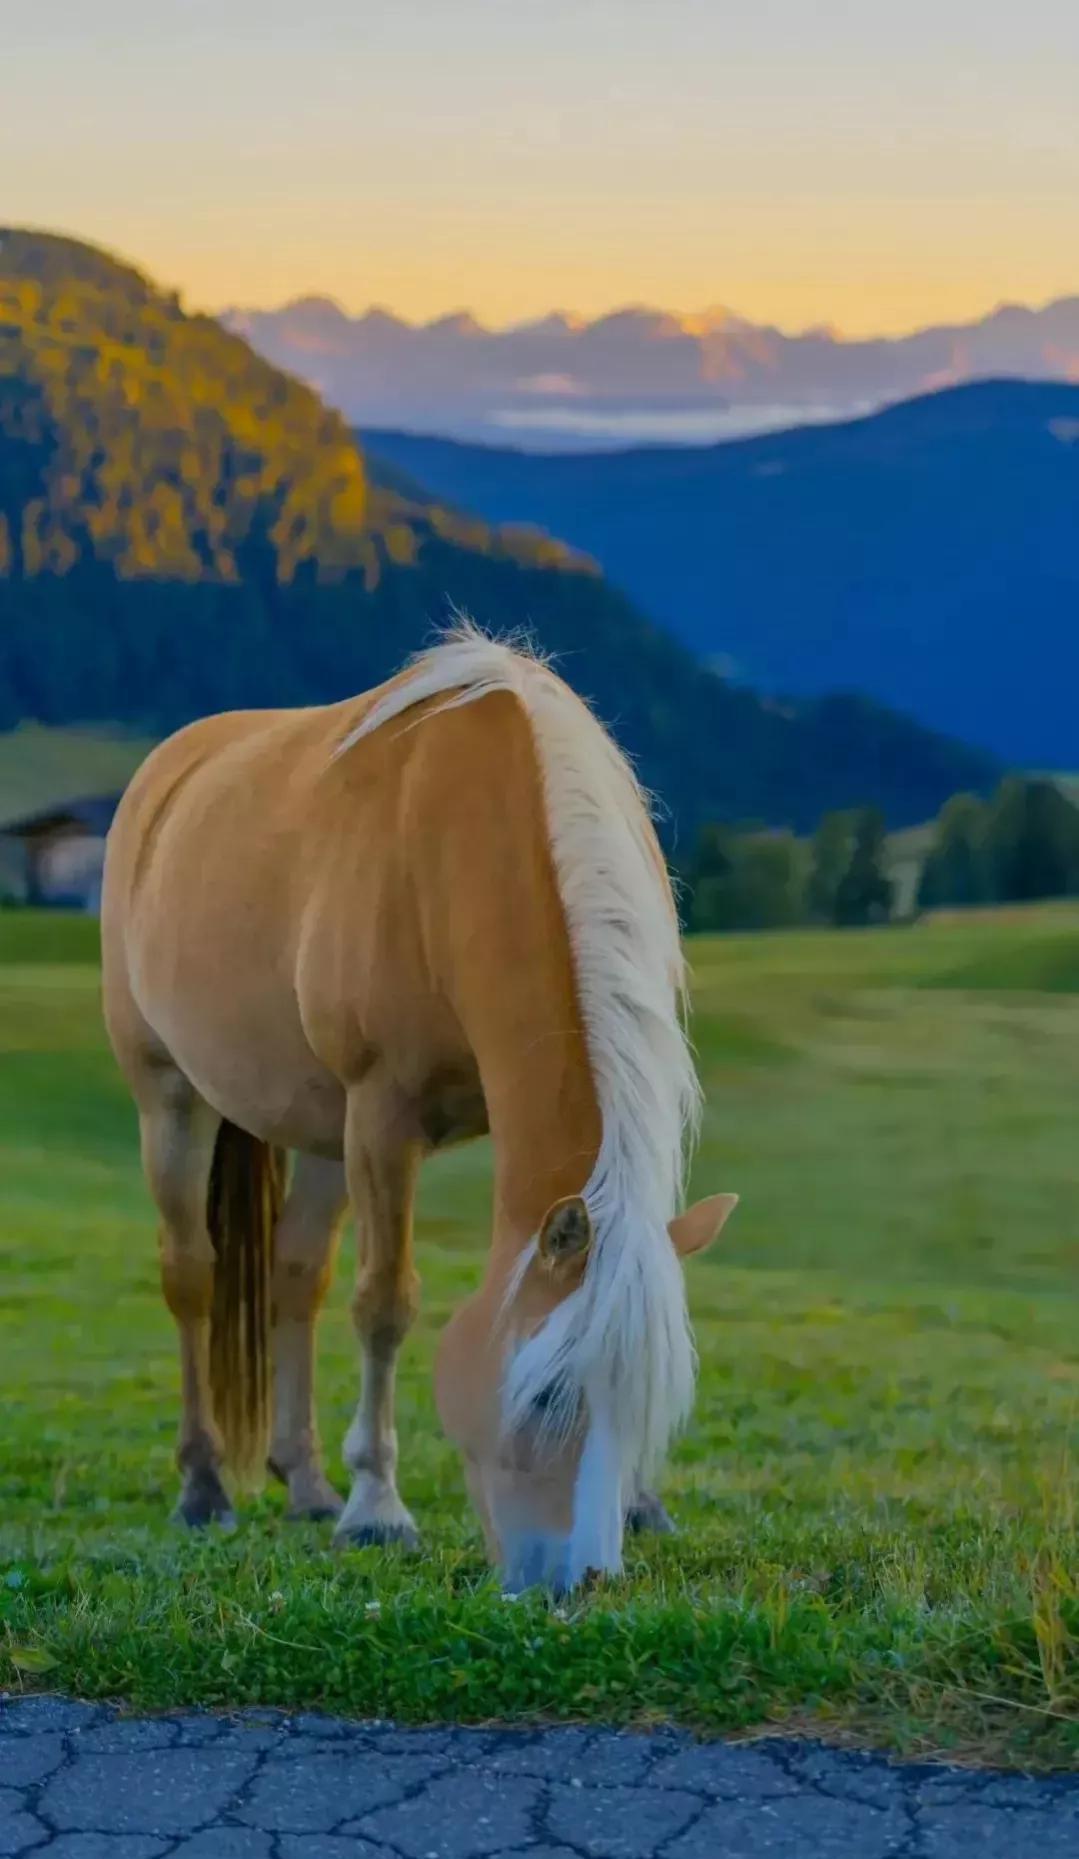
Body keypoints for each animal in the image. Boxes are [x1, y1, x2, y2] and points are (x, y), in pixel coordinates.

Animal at [101, 632, 736, 1591]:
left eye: (651, 1404)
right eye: (544, 1393)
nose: (577, 1580)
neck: (461, 847)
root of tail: (165, 772)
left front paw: (642, 1503)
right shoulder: (383, 1116)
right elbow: (385, 1302)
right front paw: (378, 1509)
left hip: (321, 1132)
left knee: (295, 1274)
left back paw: (305, 1480)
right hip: (172, 1098)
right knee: (193, 1275)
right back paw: (206, 1485)